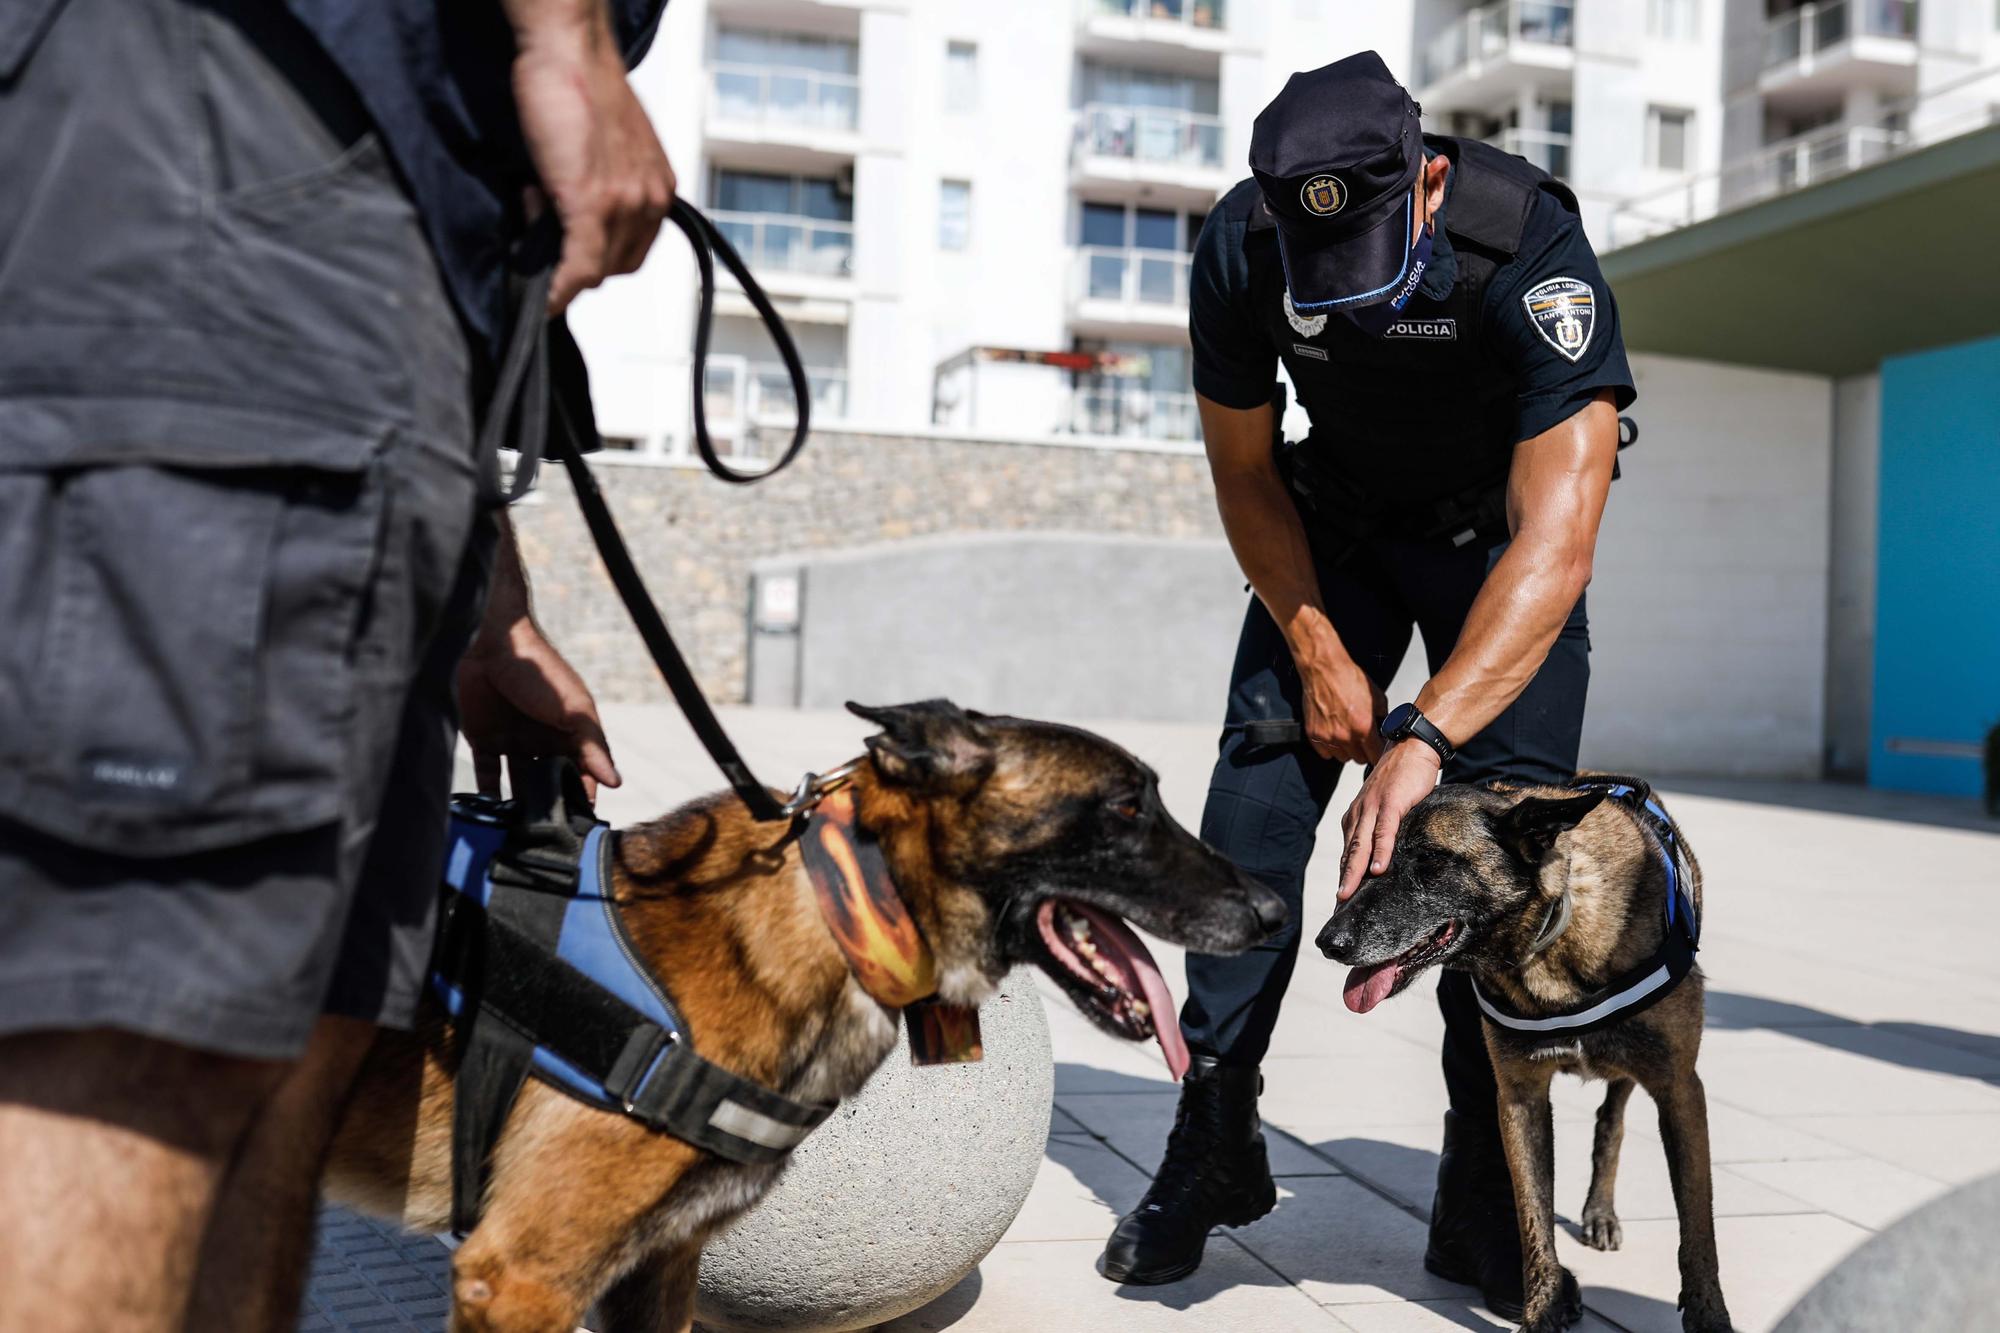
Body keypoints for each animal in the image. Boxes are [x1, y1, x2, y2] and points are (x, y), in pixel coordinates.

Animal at [1320, 780, 1728, 1328]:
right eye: (1365, 861)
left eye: (1430, 861)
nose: (1327, 942)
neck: (1550, 944)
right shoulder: (1520, 1096)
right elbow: (1533, 1217)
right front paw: (1542, 1312)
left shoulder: (1681, 1090)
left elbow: (1697, 1225)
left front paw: (1709, 1316)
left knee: (1613, 1118)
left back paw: (1601, 1211)